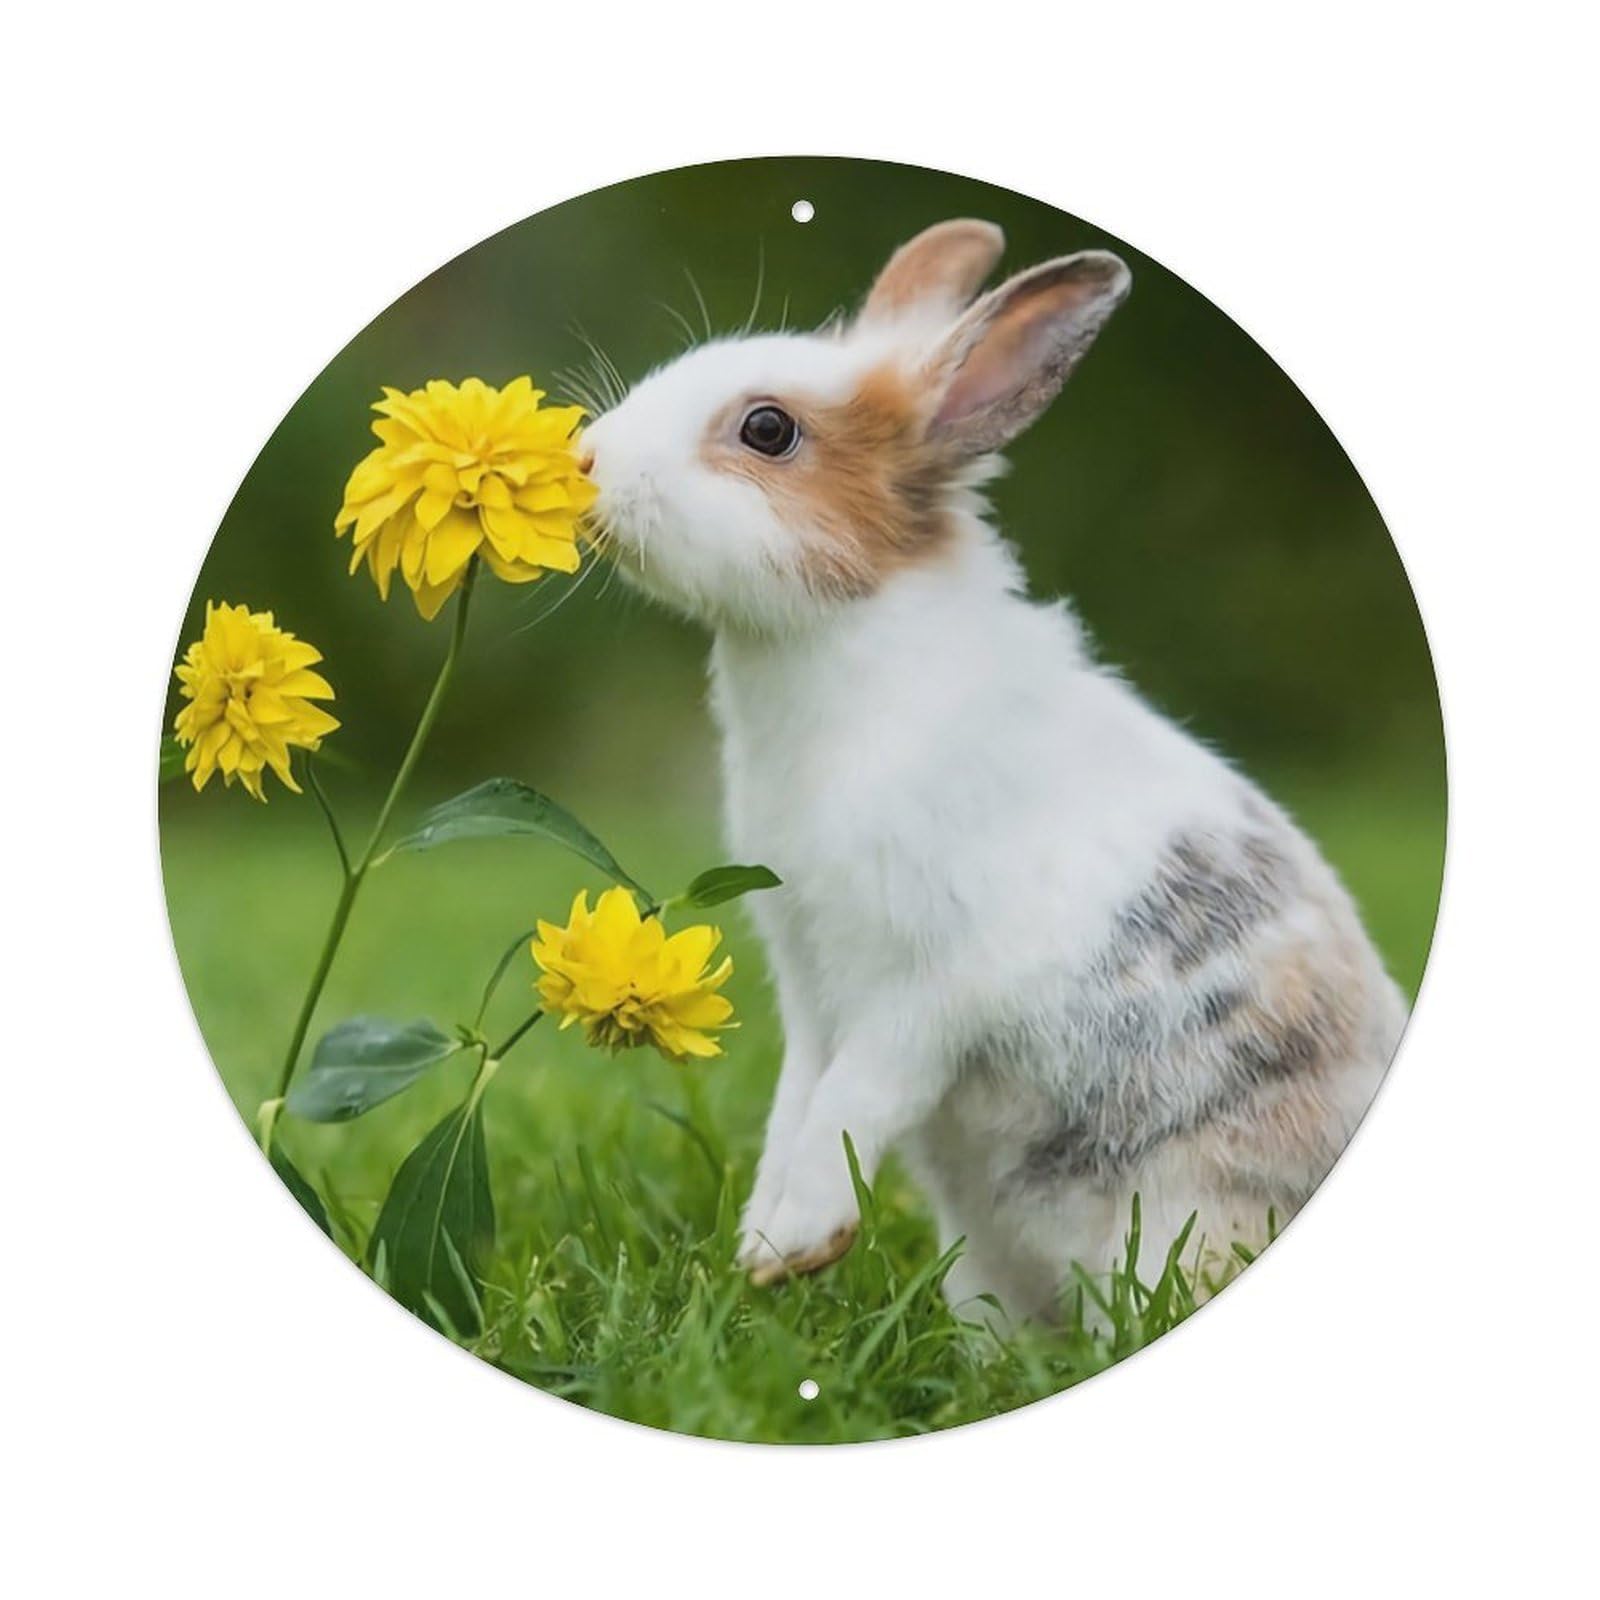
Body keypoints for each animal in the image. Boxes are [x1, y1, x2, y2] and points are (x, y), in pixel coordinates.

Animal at [578, 218, 1408, 1320]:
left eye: (766, 430)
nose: (587, 459)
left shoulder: (924, 987)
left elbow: (851, 1098)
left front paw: (793, 1244)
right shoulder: (810, 984)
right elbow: (799, 1101)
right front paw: (761, 1244)